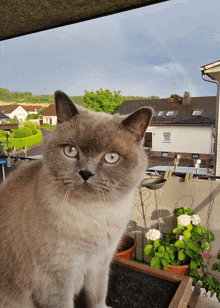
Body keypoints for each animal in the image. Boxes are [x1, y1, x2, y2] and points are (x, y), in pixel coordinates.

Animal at [0, 89, 153, 308]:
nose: (86, 173)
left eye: (111, 157)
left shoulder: (100, 262)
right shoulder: (57, 277)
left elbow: (98, 297)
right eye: (71, 151)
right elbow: (65, 303)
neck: (94, 214)